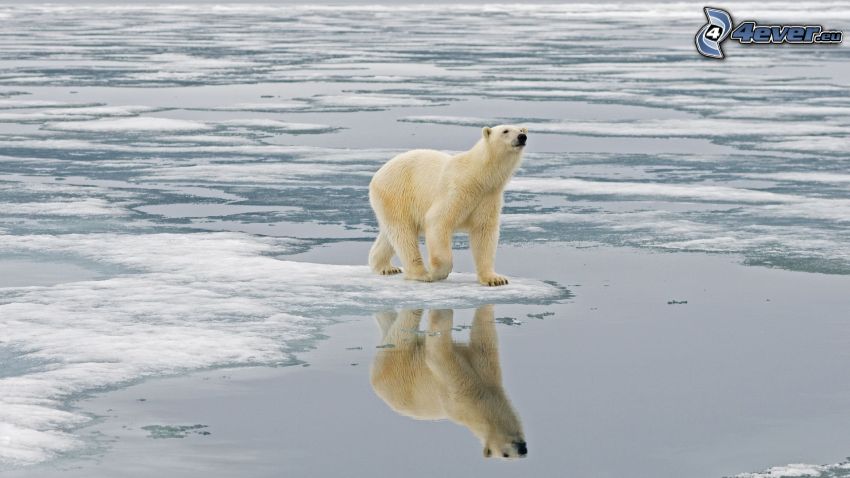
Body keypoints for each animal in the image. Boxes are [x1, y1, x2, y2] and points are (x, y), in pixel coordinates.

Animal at [368, 125, 528, 286]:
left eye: (521, 130)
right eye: (505, 131)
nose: (522, 137)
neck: (478, 175)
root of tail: (377, 175)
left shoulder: (488, 197)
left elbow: (484, 232)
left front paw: (495, 279)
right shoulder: (457, 189)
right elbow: (438, 221)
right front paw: (437, 273)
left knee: (390, 235)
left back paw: (386, 267)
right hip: (396, 193)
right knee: (403, 234)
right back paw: (421, 274)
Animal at [370, 306, 528, 460]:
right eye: (505, 455)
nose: (522, 449)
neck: (479, 401)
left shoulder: (486, 372)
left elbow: (483, 334)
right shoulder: (458, 391)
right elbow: (437, 352)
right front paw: (443, 311)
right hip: (397, 365)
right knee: (405, 328)